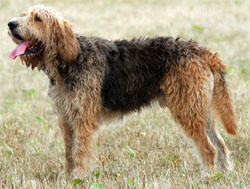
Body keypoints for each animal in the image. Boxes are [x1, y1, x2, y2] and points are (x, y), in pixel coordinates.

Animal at [8, 5, 238, 177]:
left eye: (37, 18)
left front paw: (79, 177)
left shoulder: (82, 118)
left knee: (208, 148)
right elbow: (69, 153)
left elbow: (80, 152)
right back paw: (224, 173)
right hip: (200, 110)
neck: (69, 59)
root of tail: (200, 49)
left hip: (188, 109)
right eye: (23, 14)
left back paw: (208, 176)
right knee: (220, 144)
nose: (10, 24)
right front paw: (67, 177)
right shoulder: (67, 118)